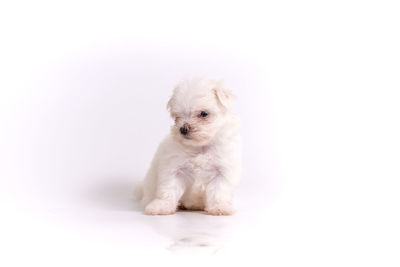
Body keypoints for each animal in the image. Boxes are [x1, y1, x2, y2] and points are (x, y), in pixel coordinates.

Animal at [138, 77, 241, 216]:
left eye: (204, 114)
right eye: (177, 117)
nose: (183, 129)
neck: (200, 147)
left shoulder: (222, 170)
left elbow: (219, 191)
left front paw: (220, 207)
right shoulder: (174, 168)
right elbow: (168, 189)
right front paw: (162, 206)